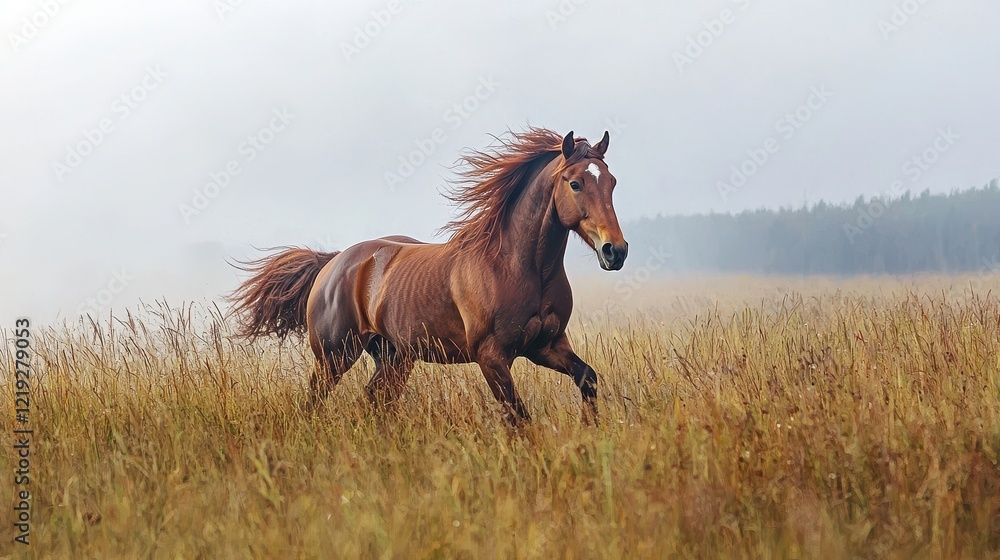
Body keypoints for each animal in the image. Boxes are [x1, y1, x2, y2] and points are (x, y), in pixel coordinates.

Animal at [229, 128, 628, 424]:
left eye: (612, 182)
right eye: (575, 183)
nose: (616, 251)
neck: (519, 266)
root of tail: (333, 262)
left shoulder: (546, 345)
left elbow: (587, 379)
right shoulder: (492, 357)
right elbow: (519, 418)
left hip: (394, 357)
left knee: (375, 400)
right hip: (334, 356)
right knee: (314, 403)